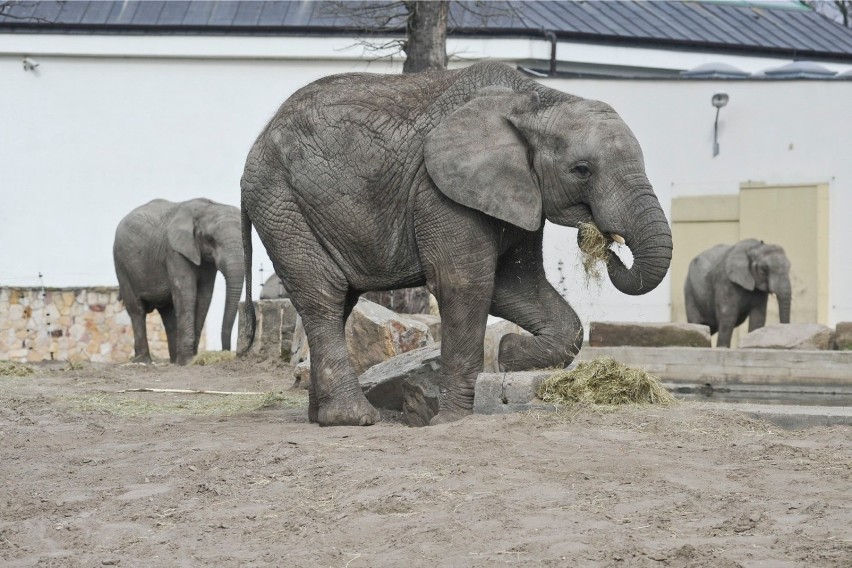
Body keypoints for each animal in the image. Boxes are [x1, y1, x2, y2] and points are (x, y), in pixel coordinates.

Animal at [113, 197, 243, 366]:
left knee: (167, 315)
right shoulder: (175, 252)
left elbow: (204, 297)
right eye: (210, 239)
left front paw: (191, 359)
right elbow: (187, 295)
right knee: (137, 310)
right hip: (122, 265)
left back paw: (174, 361)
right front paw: (188, 361)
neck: (206, 208)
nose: (226, 351)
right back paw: (143, 361)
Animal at [238, 61, 672, 426]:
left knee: (338, 300)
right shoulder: (440, 191)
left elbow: (517, 287)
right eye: (581, 170)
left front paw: (510, 354)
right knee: (324, 295)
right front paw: (451, 419)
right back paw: (353, 418)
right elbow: (464, 284)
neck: (537, 99)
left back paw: (321, 418)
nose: (604, 244)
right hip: (281, 204)